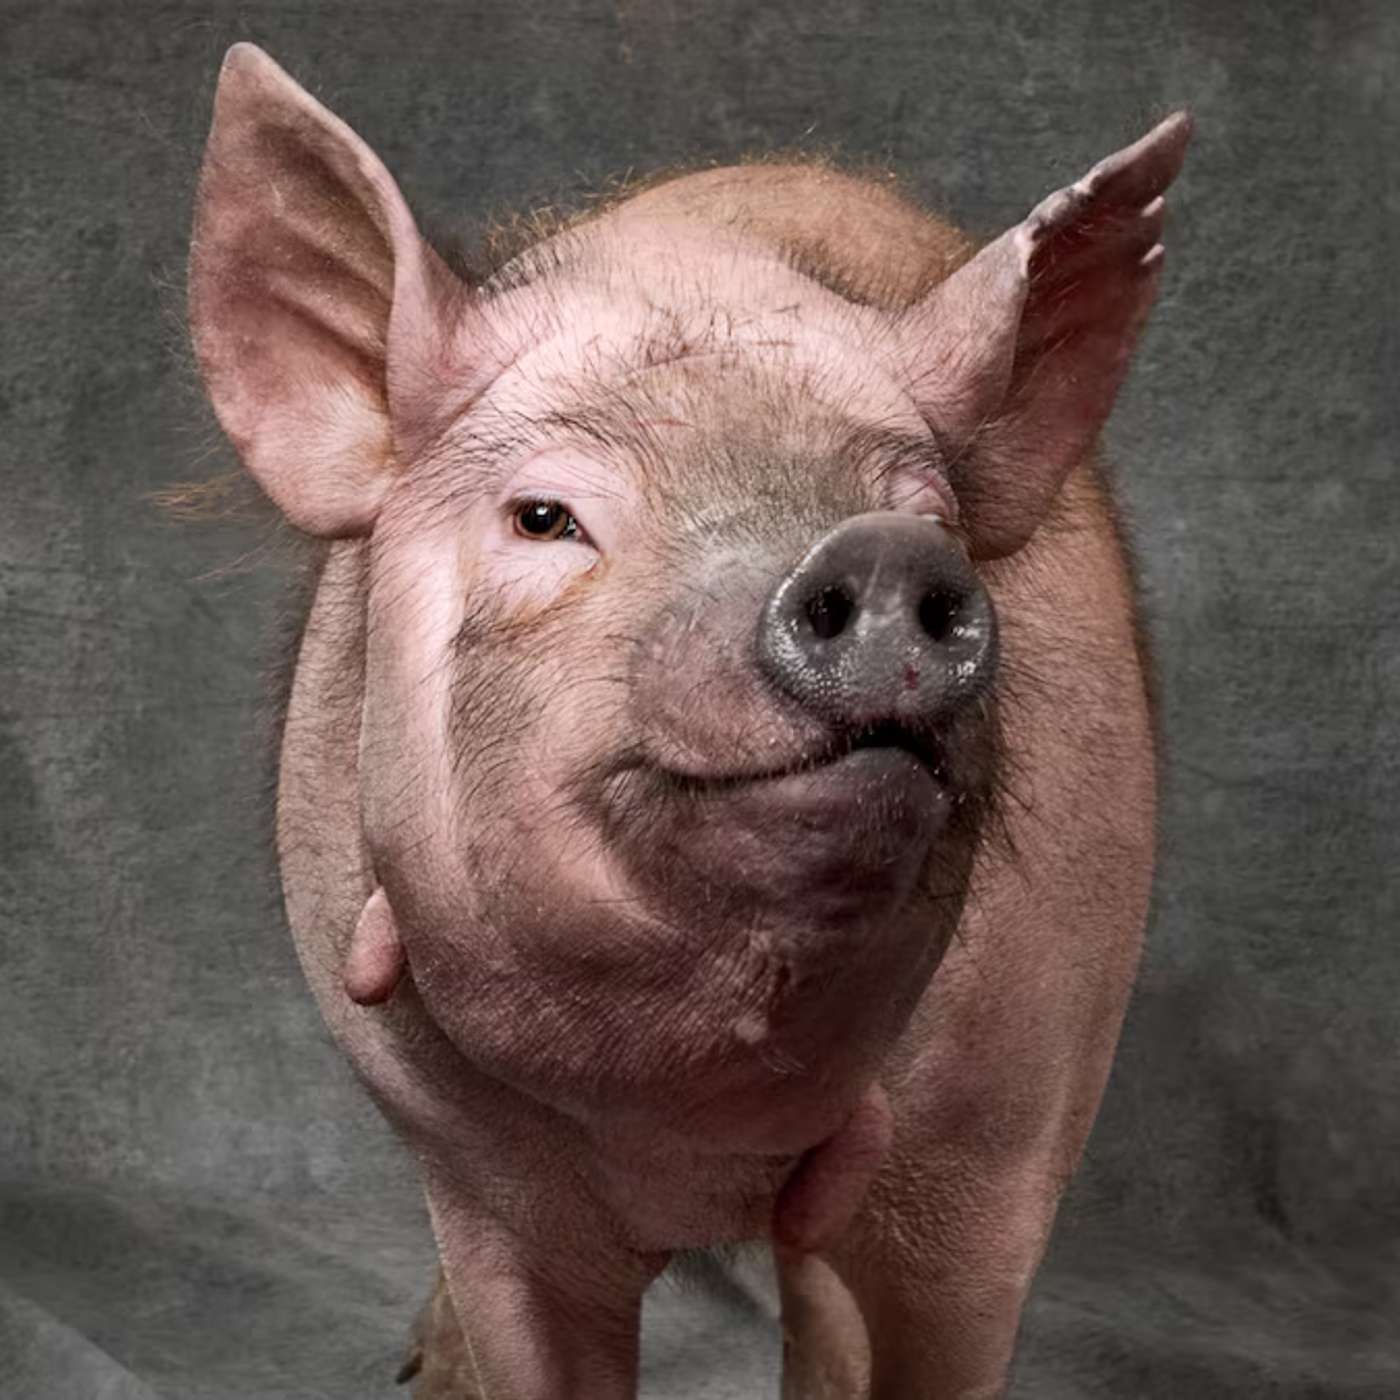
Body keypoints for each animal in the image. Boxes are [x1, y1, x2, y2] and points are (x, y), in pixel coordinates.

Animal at [187, 42, 1189, 1400]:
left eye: (929, 514)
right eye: (544, 517)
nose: (879, 551)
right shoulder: (483, 1181)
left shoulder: (1000, 1145)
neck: (691, 1124)